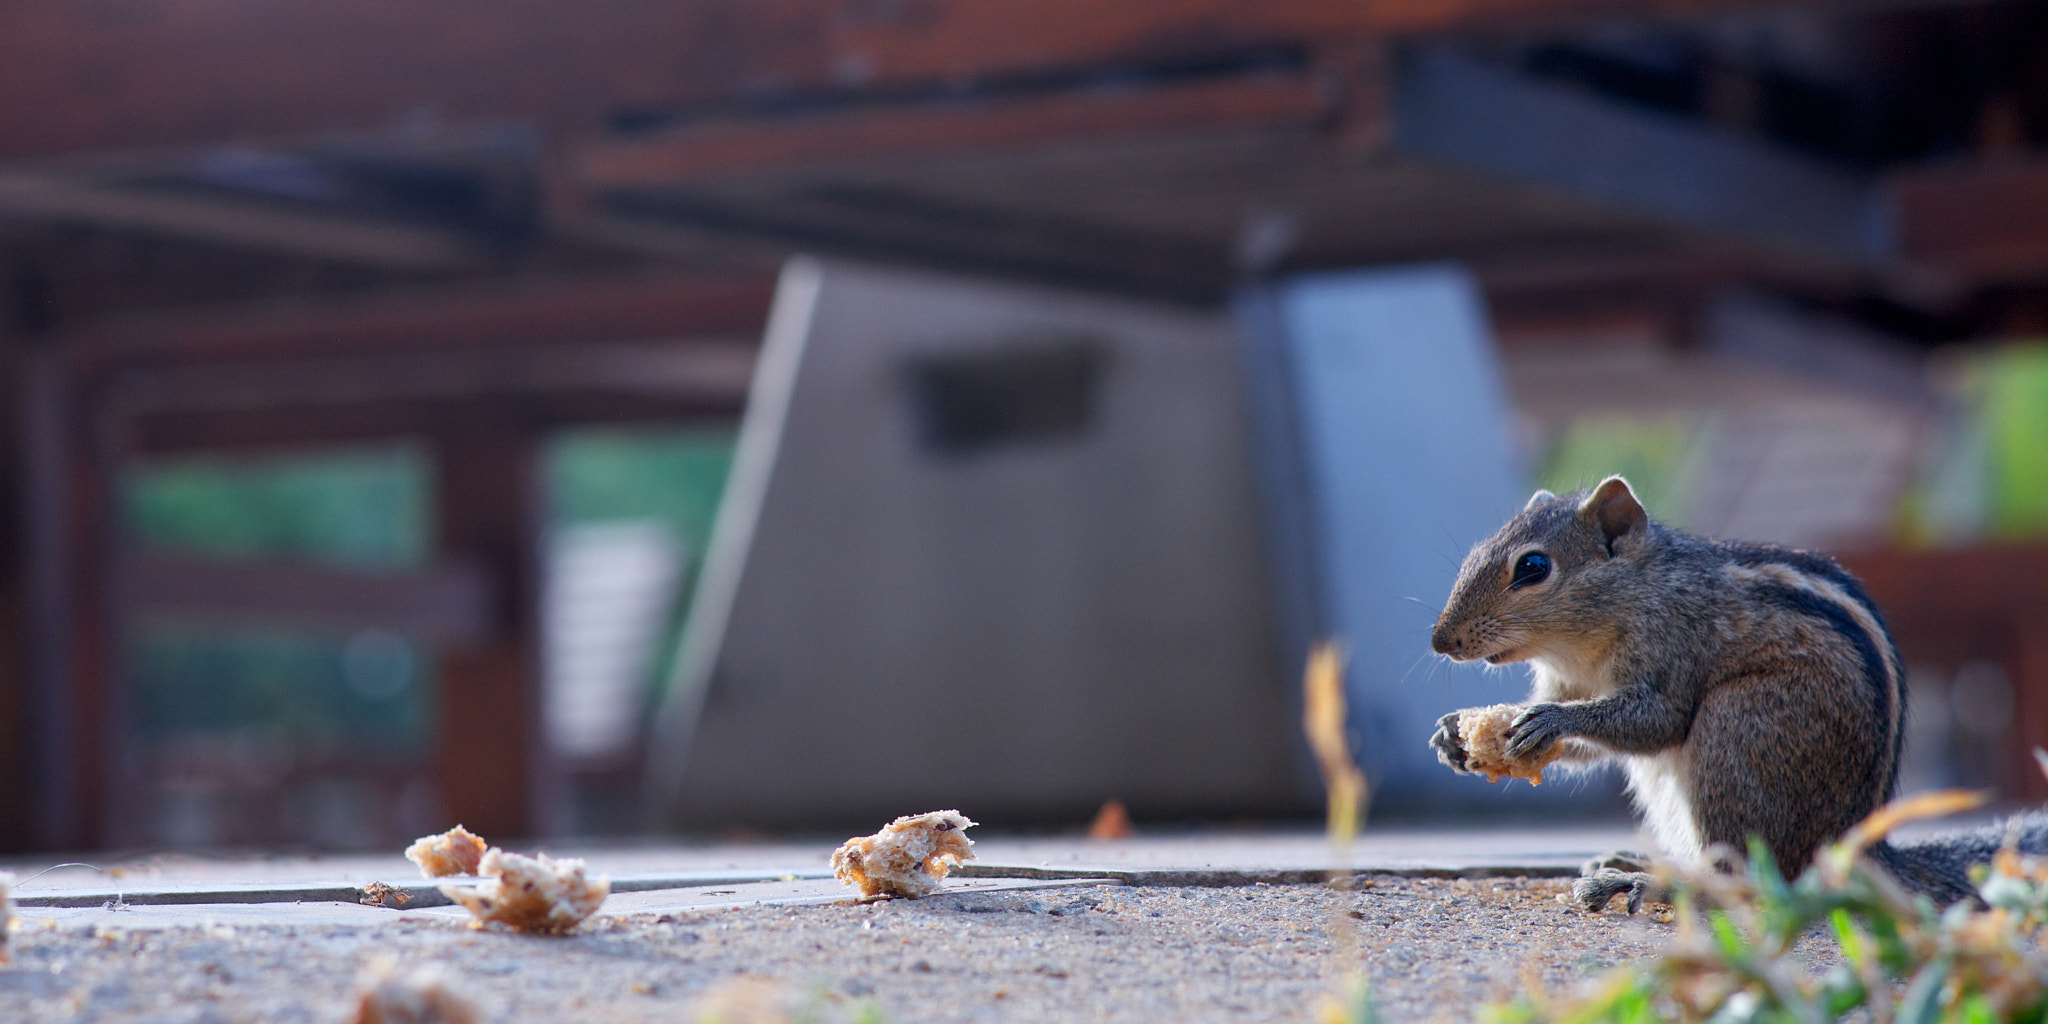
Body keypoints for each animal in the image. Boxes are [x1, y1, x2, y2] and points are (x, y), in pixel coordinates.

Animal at [1425, 475, 2048, 917]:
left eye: (1533, 567)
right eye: (1477, 551)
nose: (1440, 641)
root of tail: (1855, 850)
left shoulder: (1673, 644)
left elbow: (1656, 721)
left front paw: (1550, 720)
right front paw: (1454, 737)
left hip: (1740, 729)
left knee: (1747, 882)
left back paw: (1644, 882)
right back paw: (1638, 861)